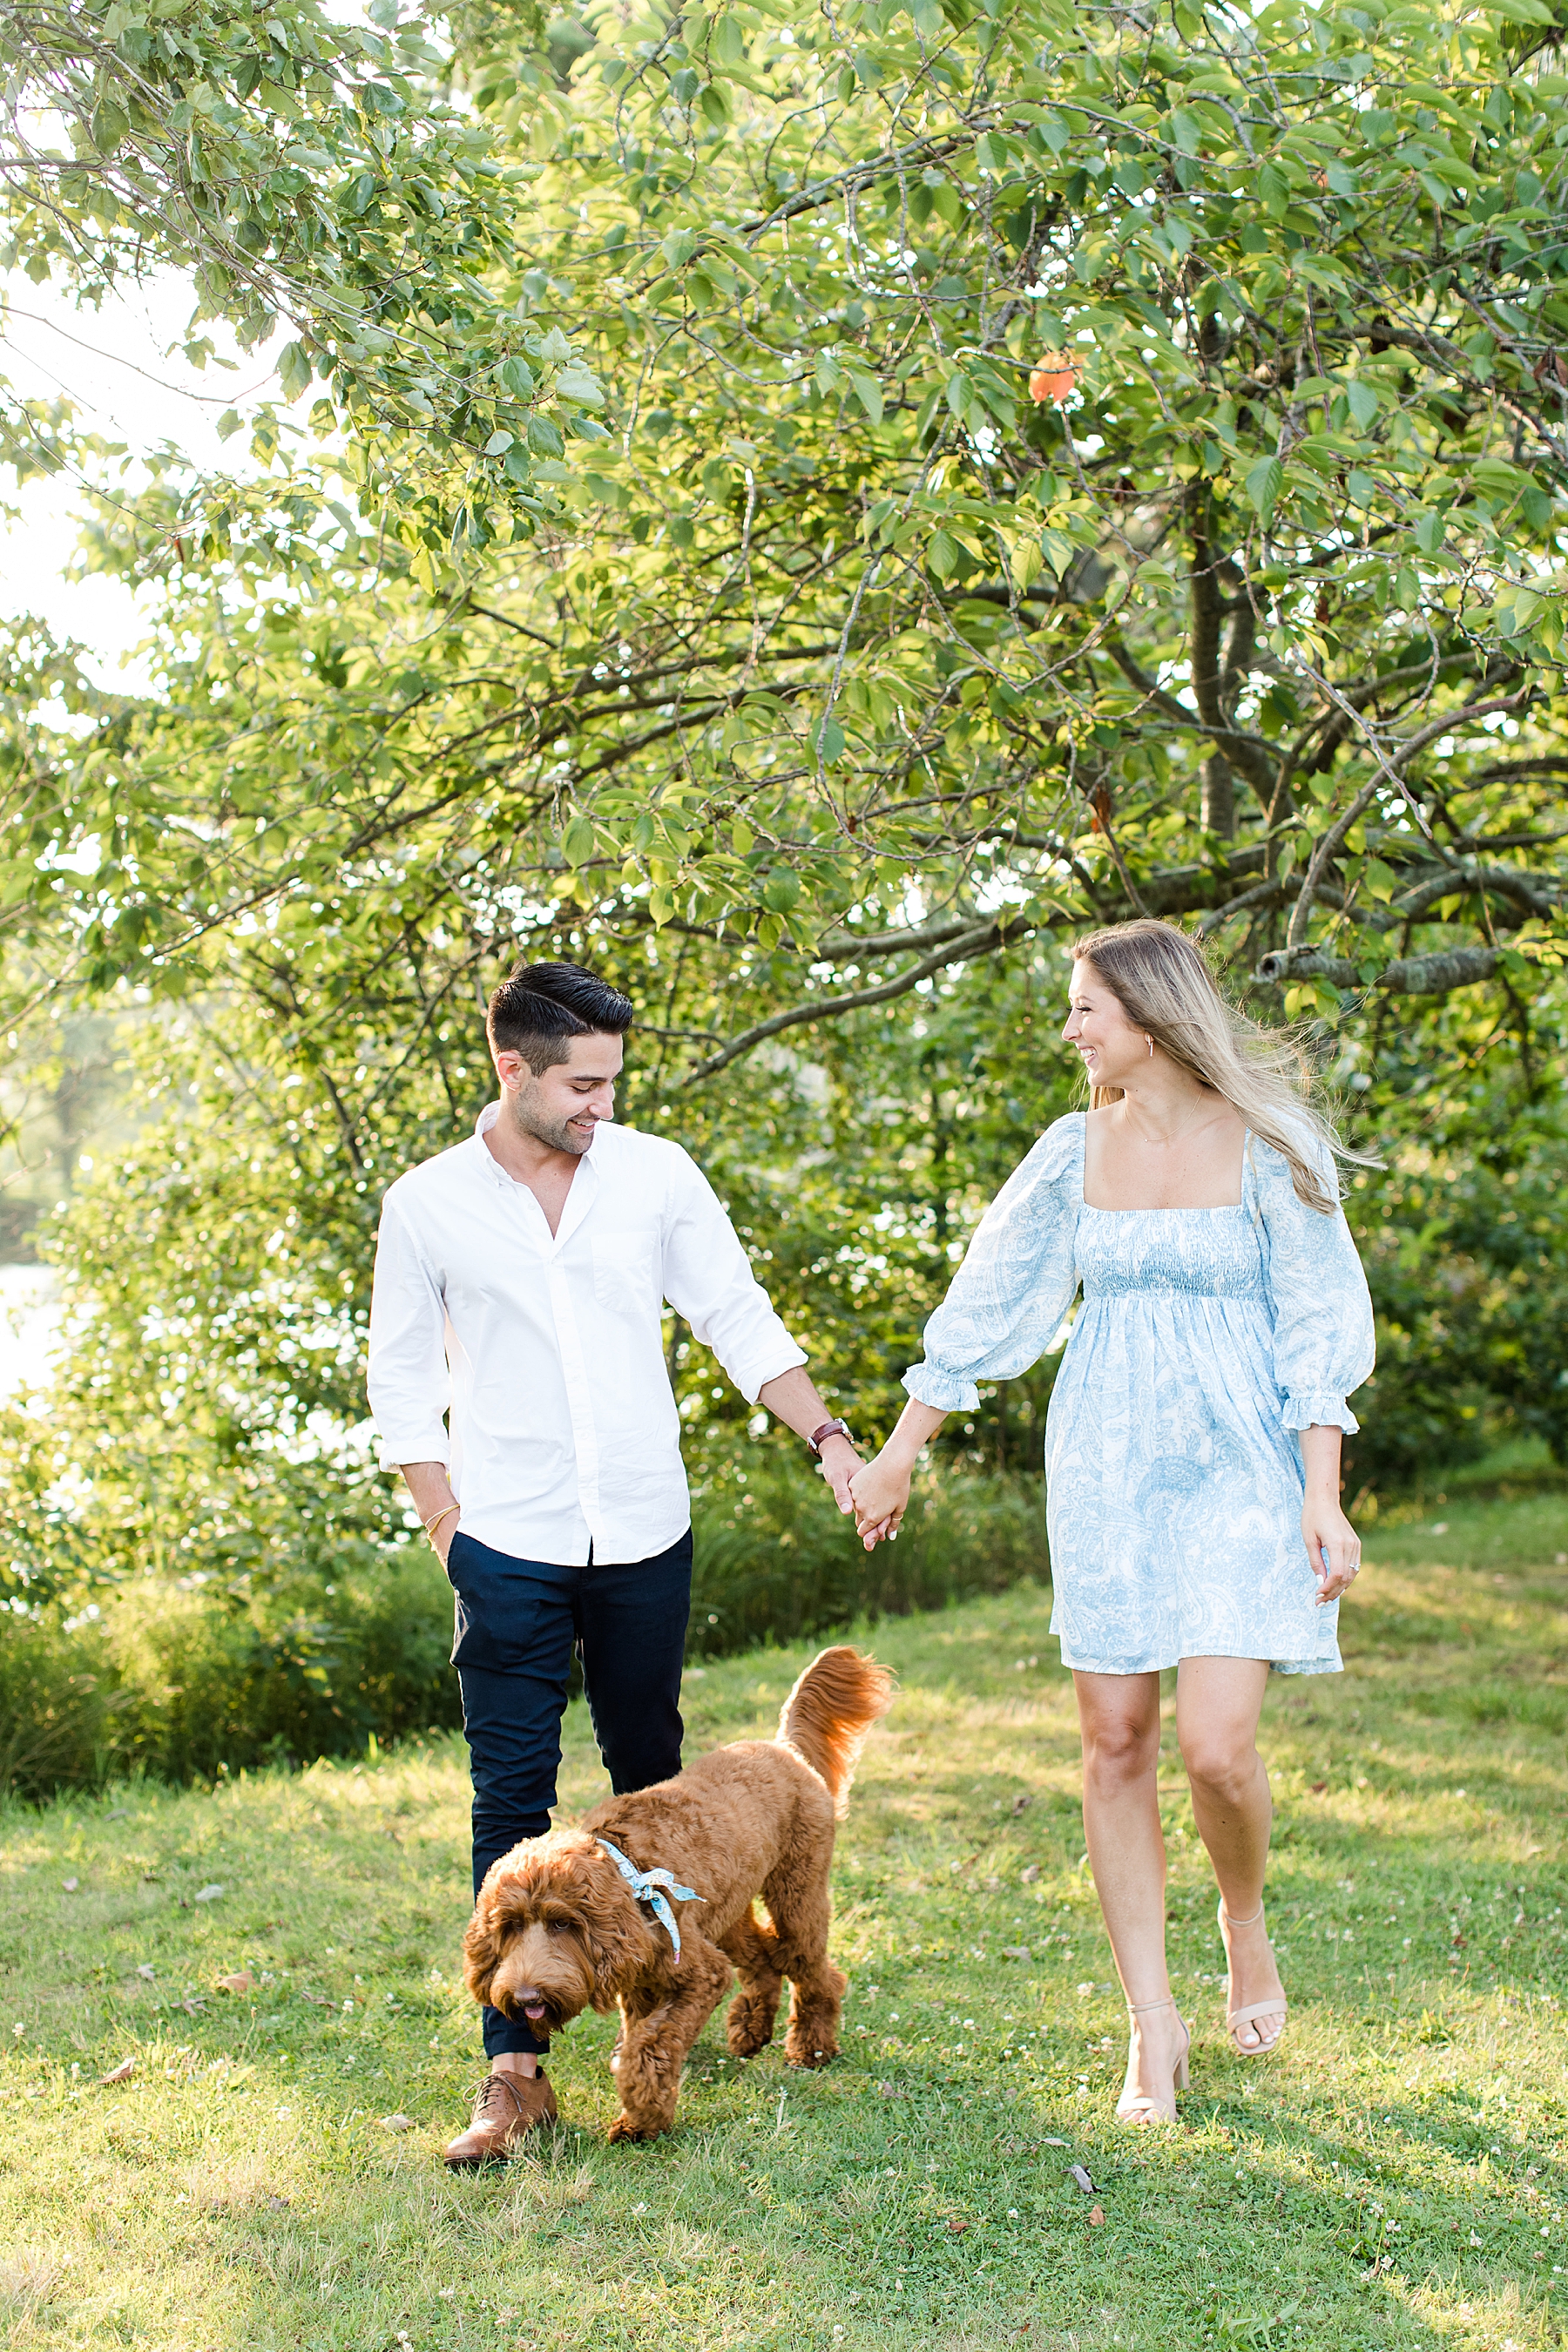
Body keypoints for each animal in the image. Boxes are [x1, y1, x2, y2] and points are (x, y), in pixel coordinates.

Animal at [463, 1646, 893, 2145]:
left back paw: (811, 2048)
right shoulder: (645, 1983)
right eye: (510, 1926)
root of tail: (784, 1747)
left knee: (809, 1966)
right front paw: (641, 2113)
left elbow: (649, 2047)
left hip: (796, 1890)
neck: (631, 1877)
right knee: (763, 1958)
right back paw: (751, 2028)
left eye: (562, 1923)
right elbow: (644, 2039)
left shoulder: (699, 1976)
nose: (527, 1997)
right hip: (725, 1914)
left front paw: (642, 2114)